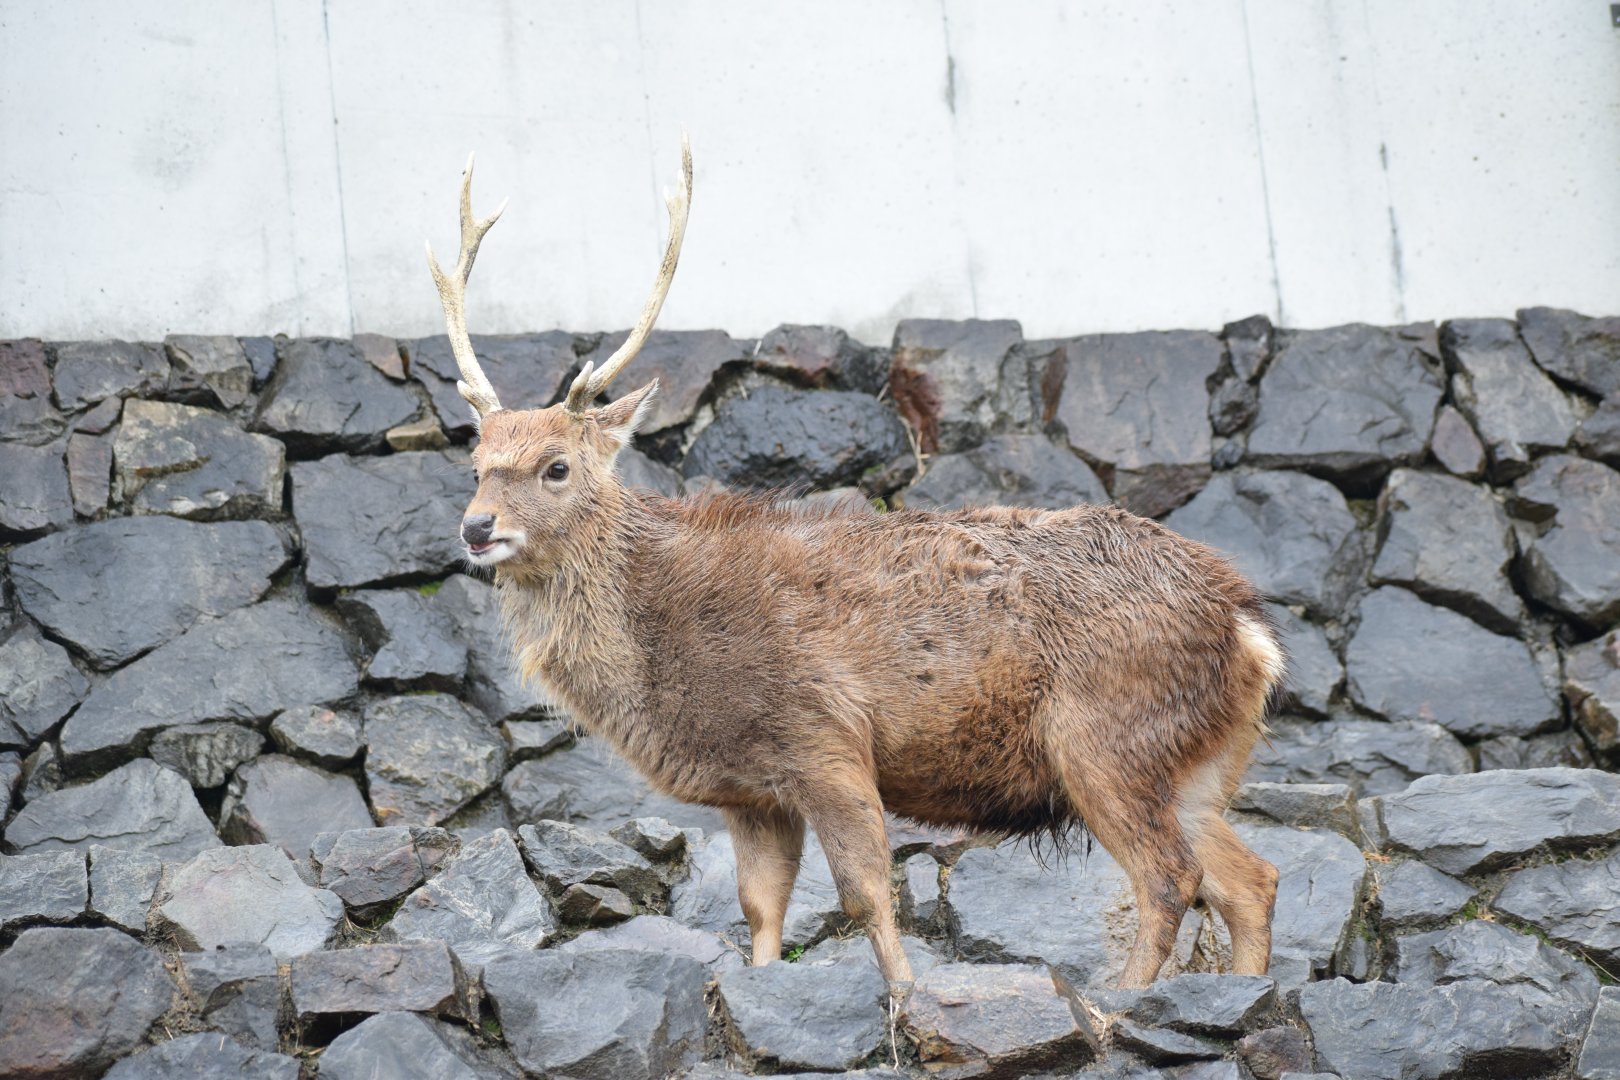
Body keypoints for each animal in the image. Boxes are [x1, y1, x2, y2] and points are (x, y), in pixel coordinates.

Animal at [424, 138, 1284, 994]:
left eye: (556, 466)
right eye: (475, 464)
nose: (476, 527)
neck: (667, 656)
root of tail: (1250, 632)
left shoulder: (824, 734)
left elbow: (867, 891)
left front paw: (905, 996)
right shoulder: (752, 789)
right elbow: (760, 907)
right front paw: (764, 985)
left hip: (1105, 734)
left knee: (1168, 876)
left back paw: (1122, 999)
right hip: (1198, 760)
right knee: (1250, 879)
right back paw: (1245, 988)